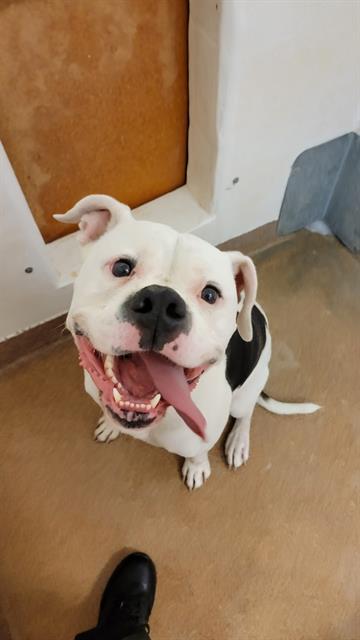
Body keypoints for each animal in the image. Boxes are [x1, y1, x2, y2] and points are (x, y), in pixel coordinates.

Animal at [54, 195, 320, 490]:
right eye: (121, 267)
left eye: (210, 294)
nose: (161, 303)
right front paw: (110, 425)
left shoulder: (204, 435)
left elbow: (199, 452)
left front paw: (197, 467)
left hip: (247, 391)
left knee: (246, 413)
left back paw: (238, 441)